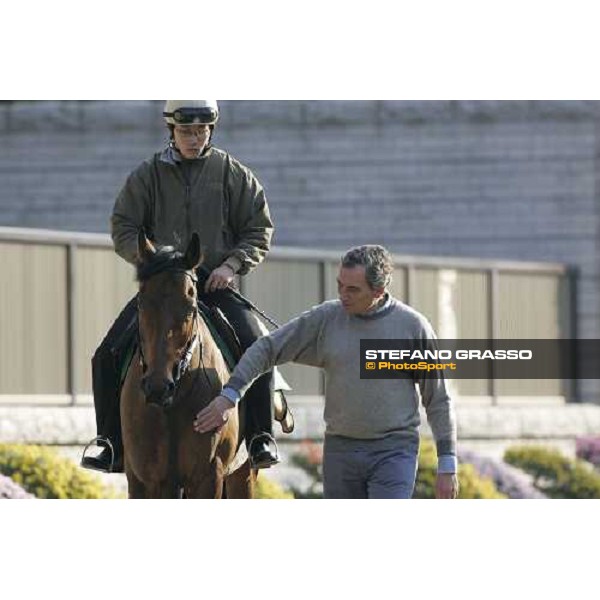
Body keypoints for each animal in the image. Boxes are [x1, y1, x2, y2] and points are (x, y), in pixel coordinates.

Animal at [120, 230, 254, 496]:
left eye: (191, 307)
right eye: (141, 302)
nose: (158, 388)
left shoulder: (208, 477)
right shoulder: (143, 479)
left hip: (242, 474)